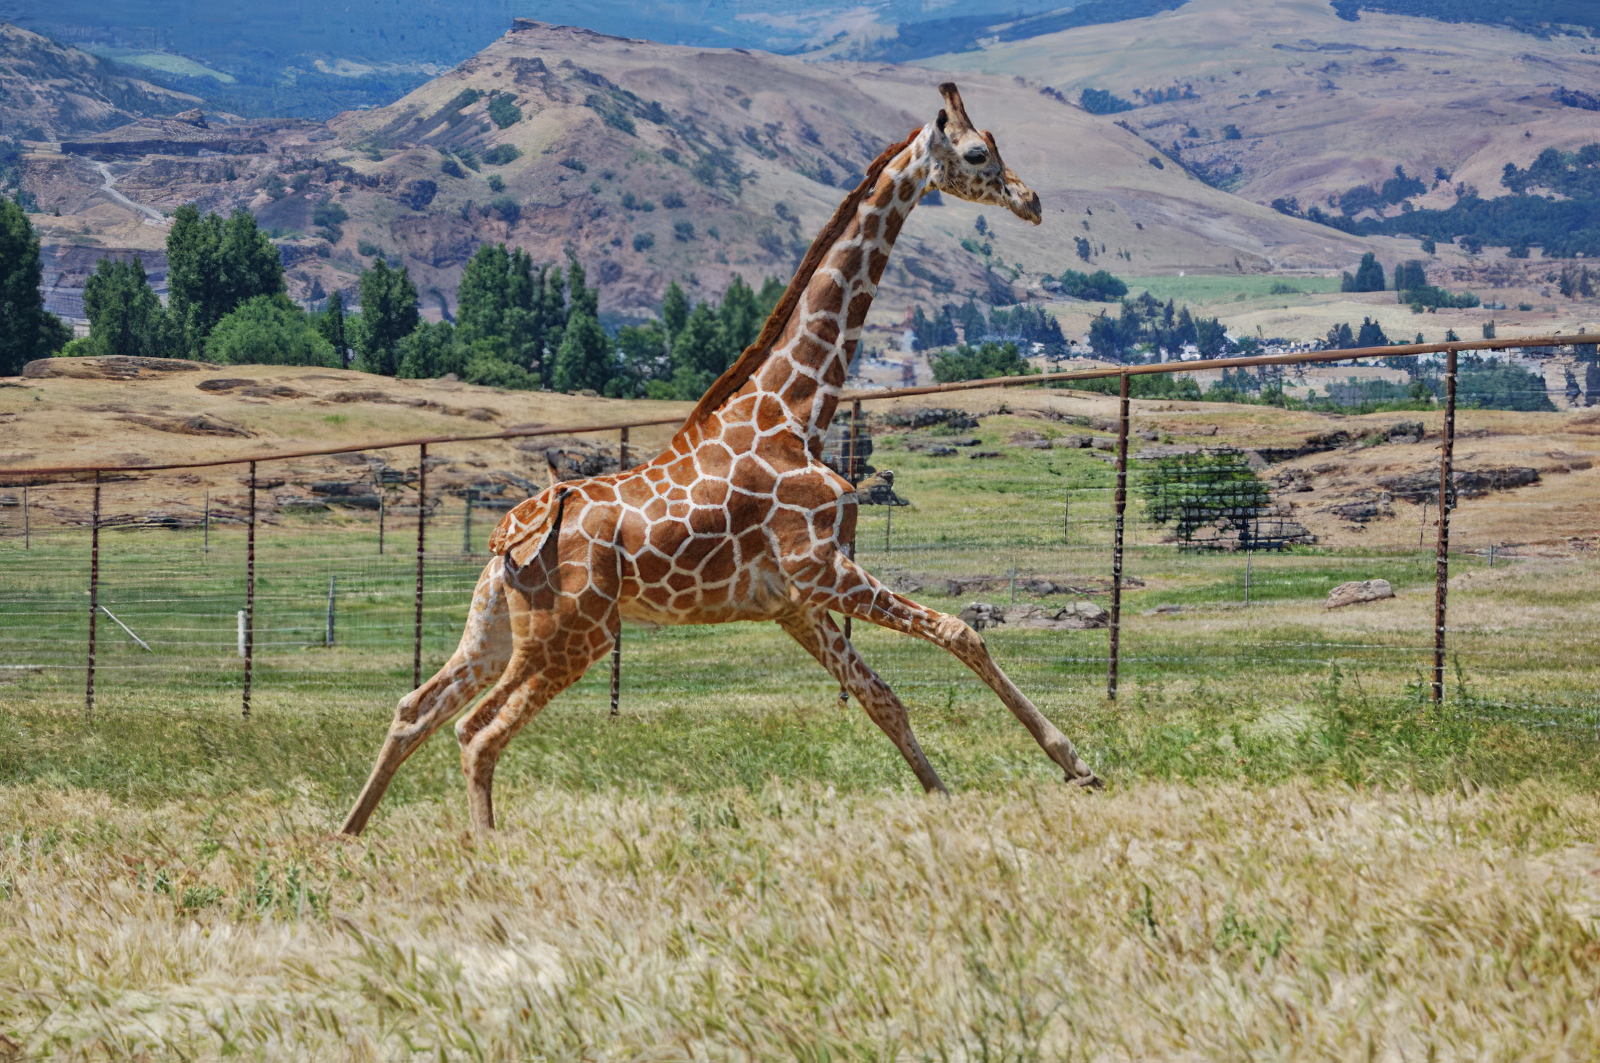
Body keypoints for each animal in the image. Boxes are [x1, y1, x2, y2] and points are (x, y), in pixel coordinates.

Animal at [341, 83, 1101, 835]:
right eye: (977, 154)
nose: (1030, 199)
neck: (796, 410)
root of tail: (508, 536)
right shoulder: (822, 567)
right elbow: (960, 631)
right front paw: (1075, 764)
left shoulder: (795, 600)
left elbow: (881, 697)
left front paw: (947, 798)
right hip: (572, 636)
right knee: (476, 732)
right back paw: (482, 847)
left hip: (496, 629)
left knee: (415, 708)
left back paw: (347, 834)